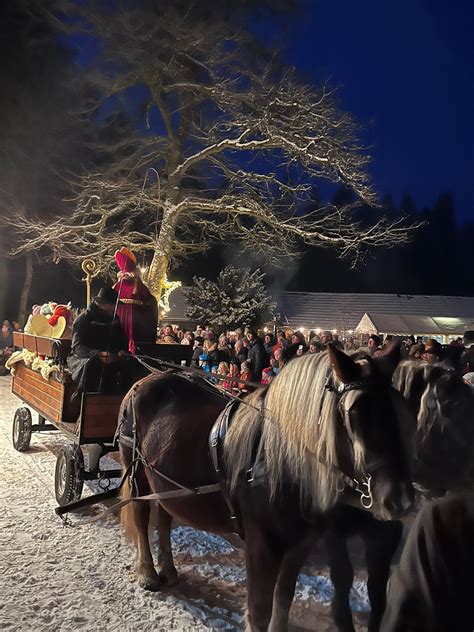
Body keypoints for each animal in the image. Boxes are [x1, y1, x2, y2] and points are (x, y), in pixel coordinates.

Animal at [117, 346, 412, 632]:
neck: (279, 462)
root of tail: (147, 379)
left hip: (165, 481)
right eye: (353, 413)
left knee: (165, 516)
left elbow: (283, 599)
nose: (399, 499)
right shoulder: (261, 547)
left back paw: (167, 568)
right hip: (137, 473)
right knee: (142, 515)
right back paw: (148, 573)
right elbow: (259, 611)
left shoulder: (300, 545)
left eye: (397, 409)